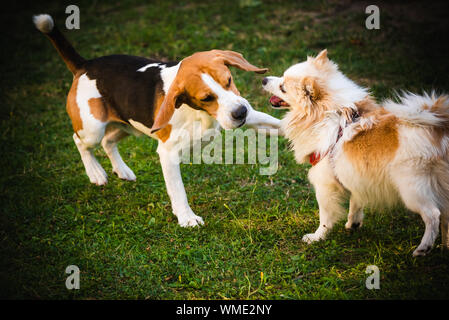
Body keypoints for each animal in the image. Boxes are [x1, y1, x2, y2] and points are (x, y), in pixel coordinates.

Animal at [34, 13, 280, 226]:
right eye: (206, 98)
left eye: (228, 80)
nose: (240, 113)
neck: (199, 112)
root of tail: (84, 65)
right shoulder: (168, 154)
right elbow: (178, 190)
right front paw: (187, 218)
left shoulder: (251, 116)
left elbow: (277, 125)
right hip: (93, 128)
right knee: (80, 141)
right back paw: (95, 172)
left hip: (127, 125)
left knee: (108, 141)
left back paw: (122, 170)